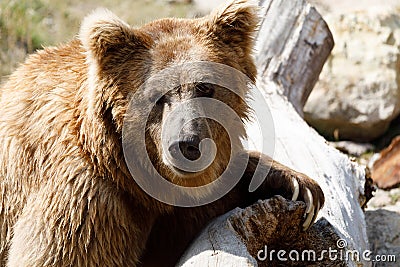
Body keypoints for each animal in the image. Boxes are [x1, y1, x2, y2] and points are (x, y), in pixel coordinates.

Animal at [0, 1, 324, 266]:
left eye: (205, 86)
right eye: (157, 96)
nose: (187, 144)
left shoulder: (176, 213)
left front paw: (298, 186)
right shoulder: (87, 200)